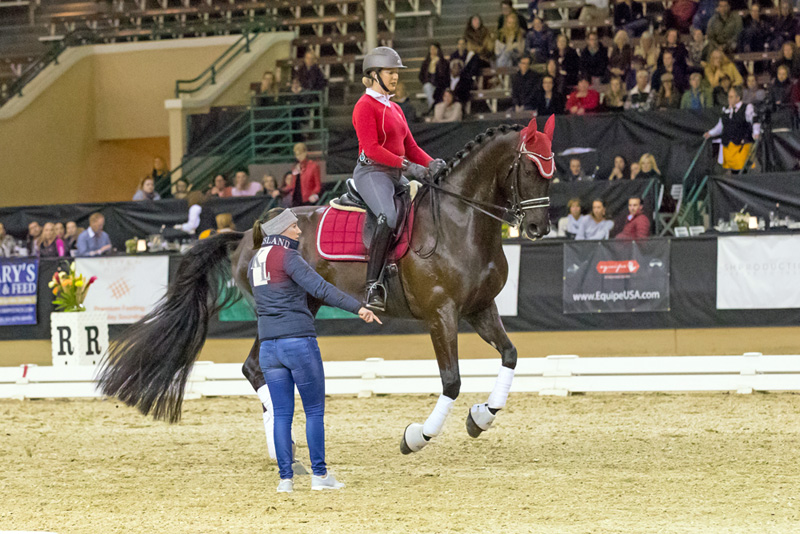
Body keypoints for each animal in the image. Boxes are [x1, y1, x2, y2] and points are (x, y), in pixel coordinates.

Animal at [97, 117, 552, 456]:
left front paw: (482, 416)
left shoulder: (480, 307)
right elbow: (452, 380)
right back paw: (281, 442)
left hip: (309, 302)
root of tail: (247, 234)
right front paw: (417, 437)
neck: (462, 221)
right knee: (253, 367)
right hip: (276, 310)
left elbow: (510, 355)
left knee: (258, 367)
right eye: (530, 169)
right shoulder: (442, 314)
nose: (537, 229)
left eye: (552, 171)